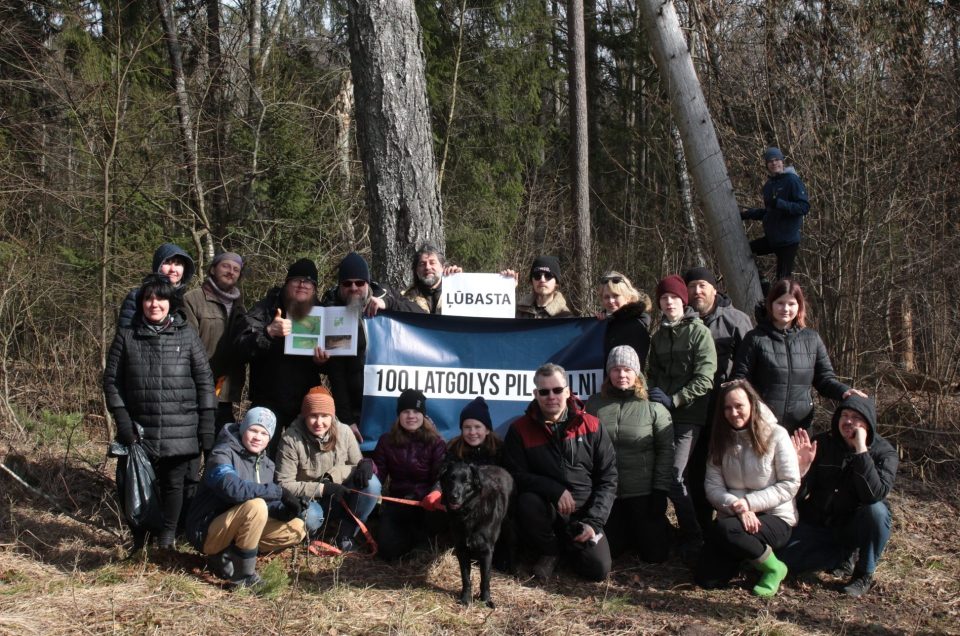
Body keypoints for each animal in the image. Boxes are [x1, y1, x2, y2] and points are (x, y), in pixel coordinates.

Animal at [440, 462, 512, 608]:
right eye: (450, 479)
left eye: (466, 482)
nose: (453, 497)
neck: (469, 512)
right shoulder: (461, 549)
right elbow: (466, 578)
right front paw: (465, 599)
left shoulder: (486, 551)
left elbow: (485, 579)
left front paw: (486, 600)